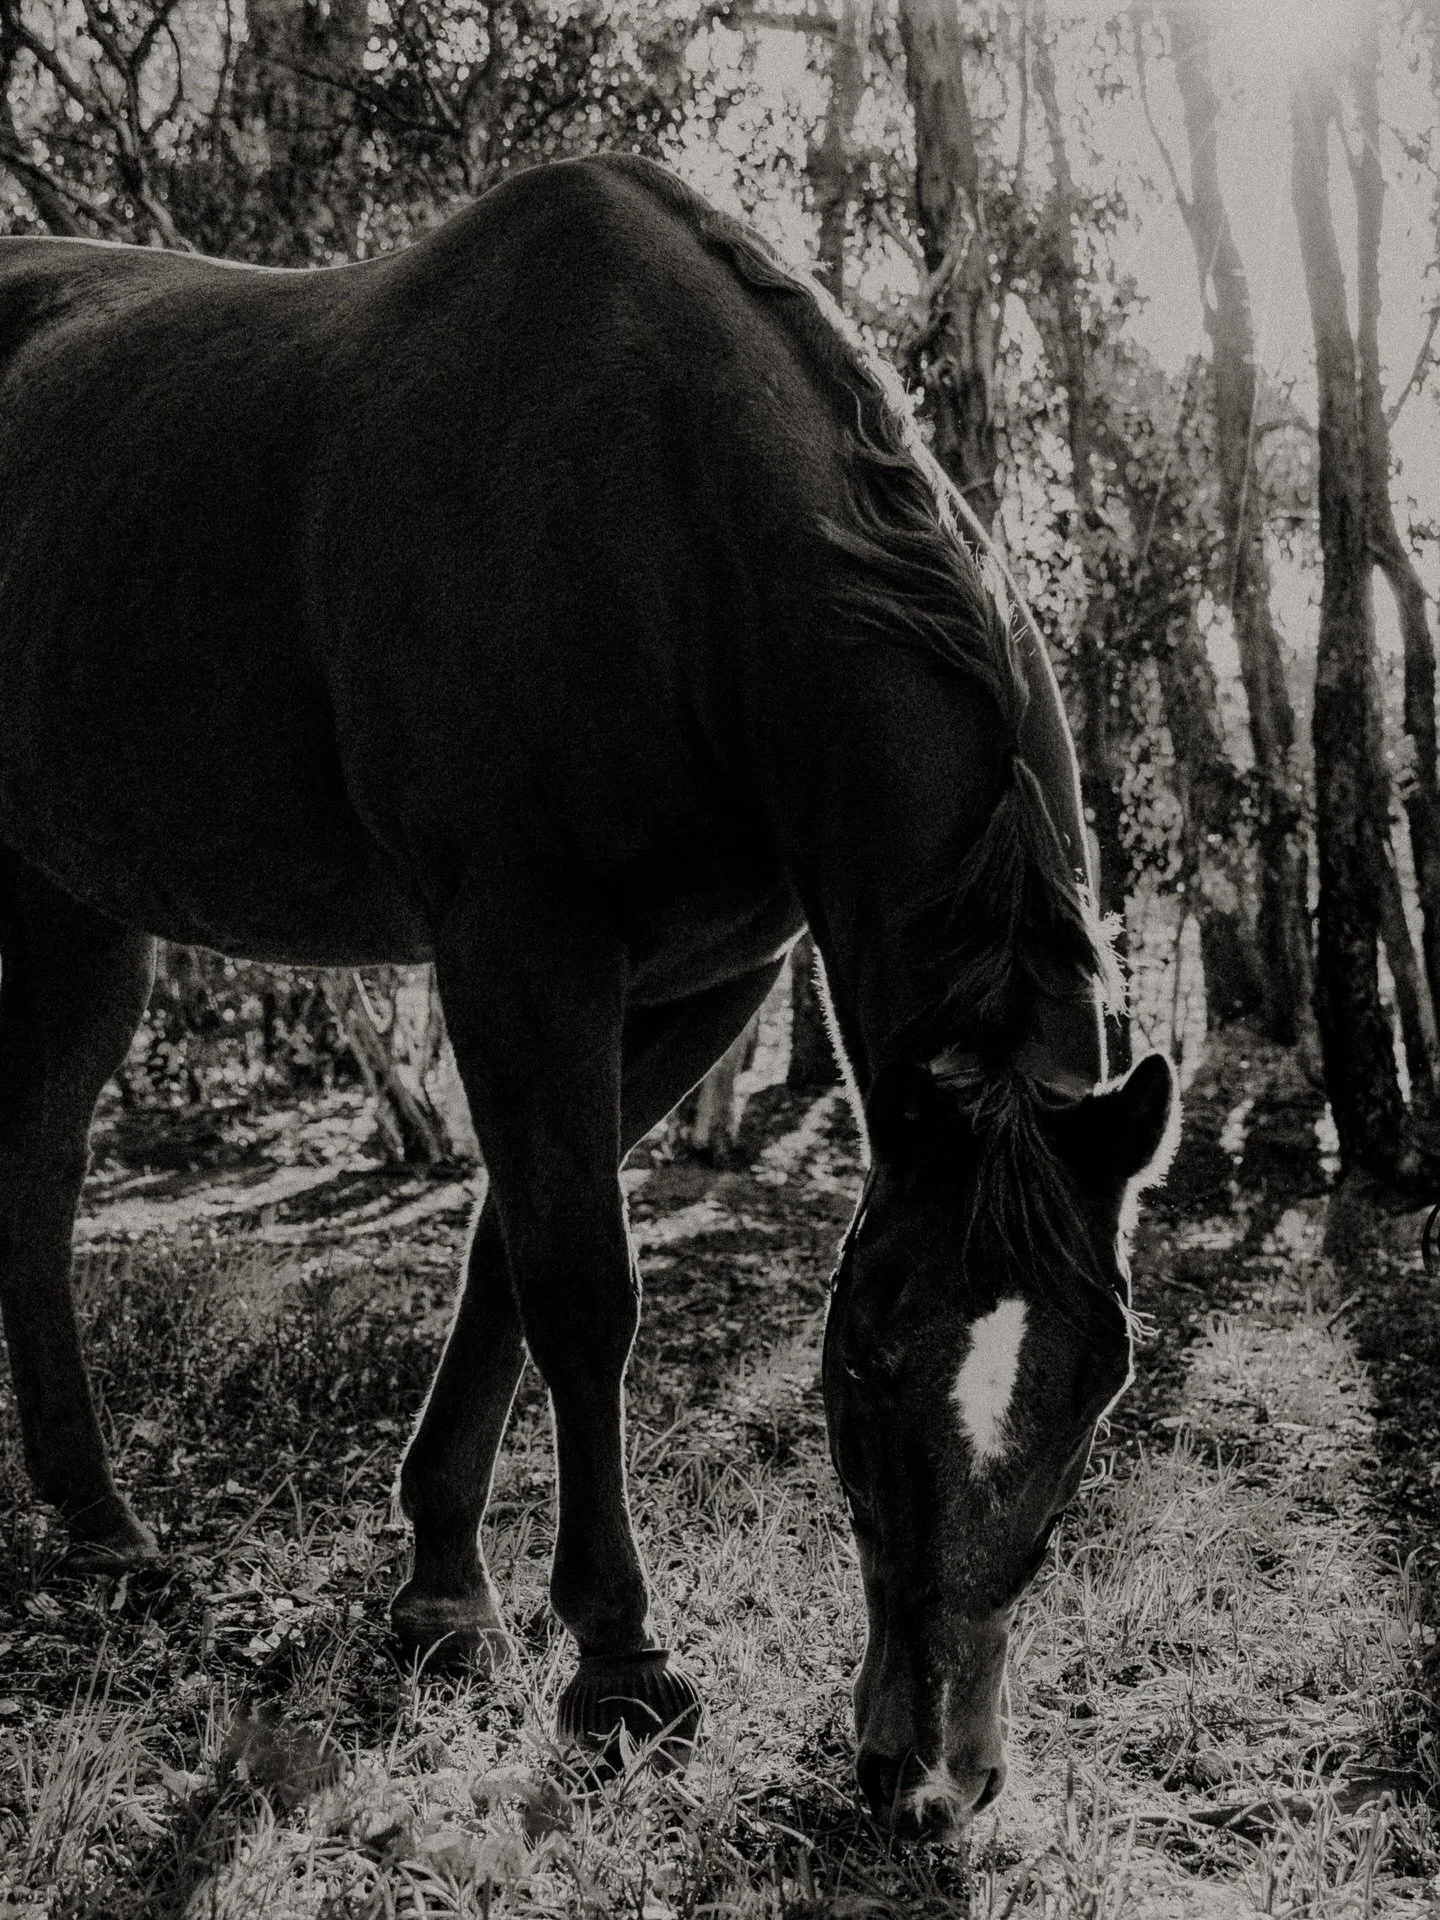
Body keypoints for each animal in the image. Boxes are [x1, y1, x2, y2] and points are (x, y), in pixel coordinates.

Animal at [0, 152, 1175, 1834]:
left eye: (1098, 1387)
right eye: (864, 1359)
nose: (930, 1780)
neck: (679, 528)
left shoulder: (695, 984)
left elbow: (510, 1249)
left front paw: (442, 1590)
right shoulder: (520, 949)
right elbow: (580, 1281)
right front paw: (618, 1665)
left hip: (78, 901)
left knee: (35, 1165)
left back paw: (97, 1516)